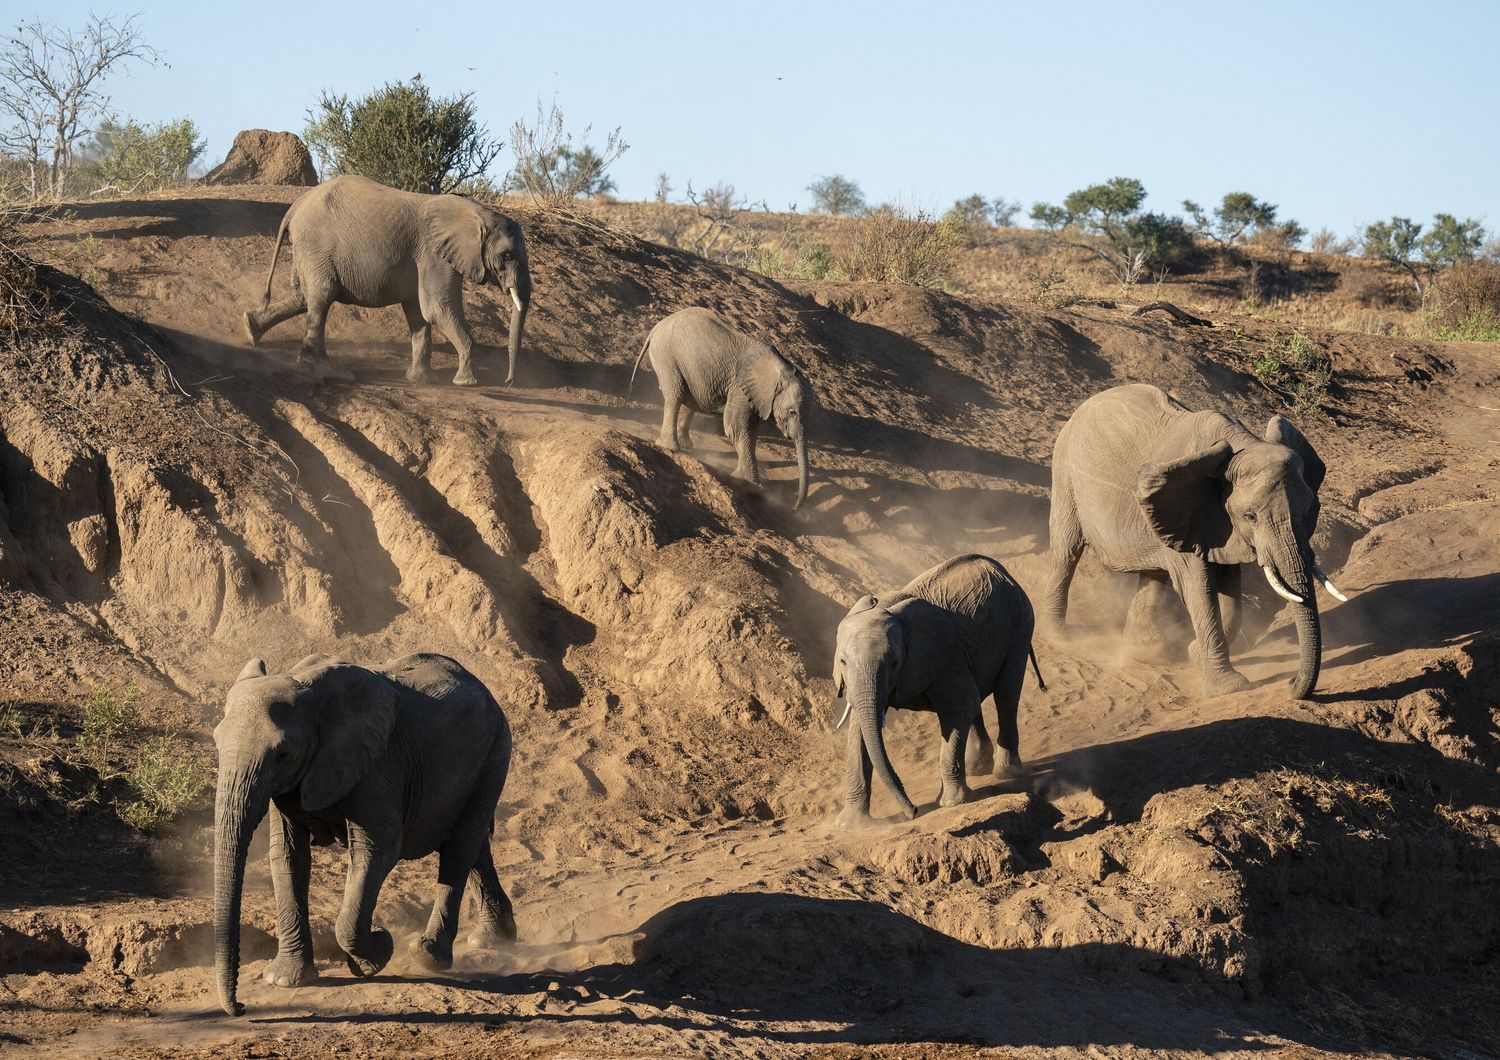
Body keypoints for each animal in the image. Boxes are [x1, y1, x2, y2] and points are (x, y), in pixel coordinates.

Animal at [211, 650, 516, 1013]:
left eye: (283, 754)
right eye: (216, 744)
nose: (241, 1007)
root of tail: (481, 686)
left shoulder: (380, 762)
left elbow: (377, 849)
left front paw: (376, 953)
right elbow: (287, 855)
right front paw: (285, 980)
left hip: (495, 751)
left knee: (460, 847)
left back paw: (430, 955)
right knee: (474, 843)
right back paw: (493, 940)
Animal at [243, 172, 531, 386]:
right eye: (507, 255)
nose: (508, 382)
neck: (477, 213)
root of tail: (295, 207)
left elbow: (419, 312)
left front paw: (422, 380)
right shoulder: (434, 253)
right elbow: (437, 308)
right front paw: (466, 382)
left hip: (309, 251)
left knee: (305, 297)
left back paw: (250, 328)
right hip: (317, 246)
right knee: (321, 298)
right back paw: (325, 372)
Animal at [627, 307, 816, 509]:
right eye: (792, 412)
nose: (794, 508)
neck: (782, 368)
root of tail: (657, 327)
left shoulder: (752, 396)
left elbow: (747, 431)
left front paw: (742, 479)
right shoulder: (740, 388)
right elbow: (737, 429)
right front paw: (750, 485)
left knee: (690, 398)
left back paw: (687, 446)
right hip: (666, 356)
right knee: (674, 395)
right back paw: (670, 447)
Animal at [834, 554, 1044, 827]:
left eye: (894, 663)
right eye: (843, 662)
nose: (913, 811)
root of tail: (1002, 570)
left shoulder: (944, 656)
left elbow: (960, 706)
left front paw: (951, 803)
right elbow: (859, 730)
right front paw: (850, 825)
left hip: (1020, 624)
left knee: (1006, 695)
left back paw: (1005, 772)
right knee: (977, 702)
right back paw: (976, 768)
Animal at [1044, 386, 1350, 701]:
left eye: (1309, 509)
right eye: (1250, 516)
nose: (1290, 683)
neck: (1243, 445)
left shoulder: (1216, 519)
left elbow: (1231, 588)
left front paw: (1194, 655)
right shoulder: (1194, 507)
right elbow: (1198, 588)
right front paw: (1230, 687)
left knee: (1154, 572)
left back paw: (1147, 651)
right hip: (1065, 474)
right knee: (1066, 552)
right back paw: (1061, 638)